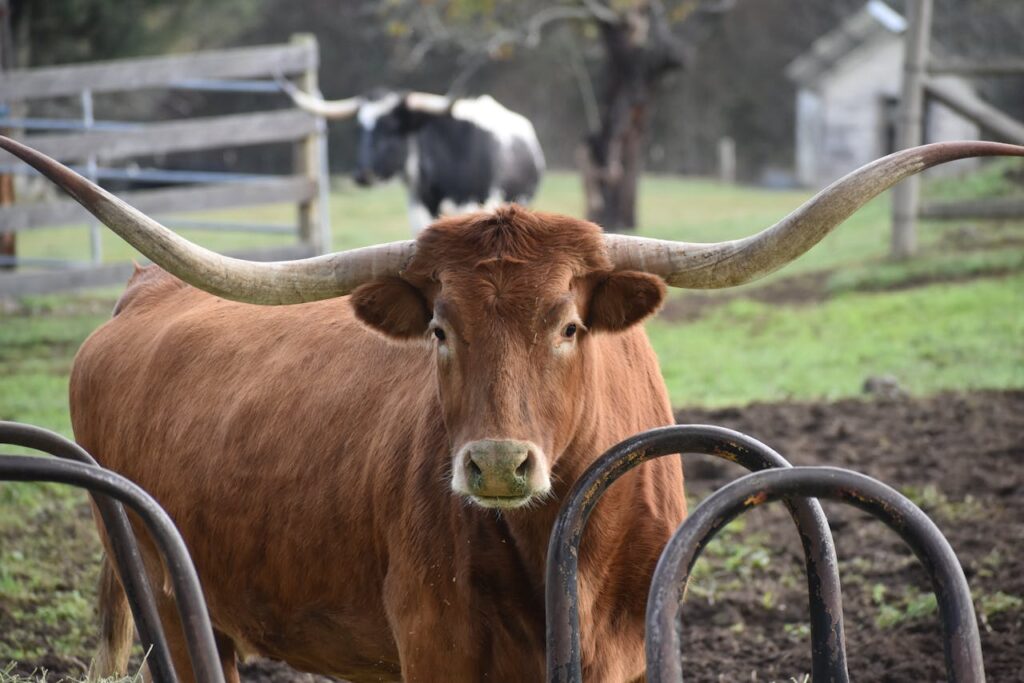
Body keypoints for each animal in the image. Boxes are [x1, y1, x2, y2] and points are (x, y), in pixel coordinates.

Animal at [1, 137, 1020, 683]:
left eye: (569, 325)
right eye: (439, 328)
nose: (496, 463)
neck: (557, 548)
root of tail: (137, 297)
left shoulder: (620, 650)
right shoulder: (437, 647)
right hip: (175, 601)